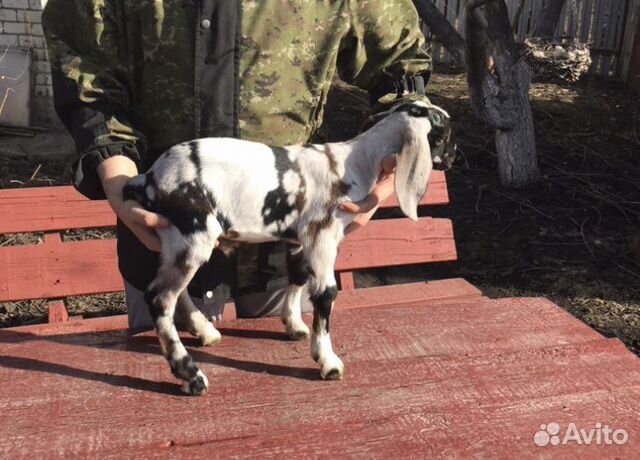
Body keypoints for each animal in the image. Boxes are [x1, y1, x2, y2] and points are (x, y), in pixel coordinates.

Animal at [124, 100, 456, 396]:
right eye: (443, 136)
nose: (454, 157)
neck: (354, 162)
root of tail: (148, 177)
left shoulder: (300, 239)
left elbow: (297, 277)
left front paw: (294, 325)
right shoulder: (323, 234)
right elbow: (325, 293)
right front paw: (328, 361)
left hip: (173, 242)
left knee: (173, 292)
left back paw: (204, 331)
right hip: (193, 234)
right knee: (160, 298)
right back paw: (191, 375)